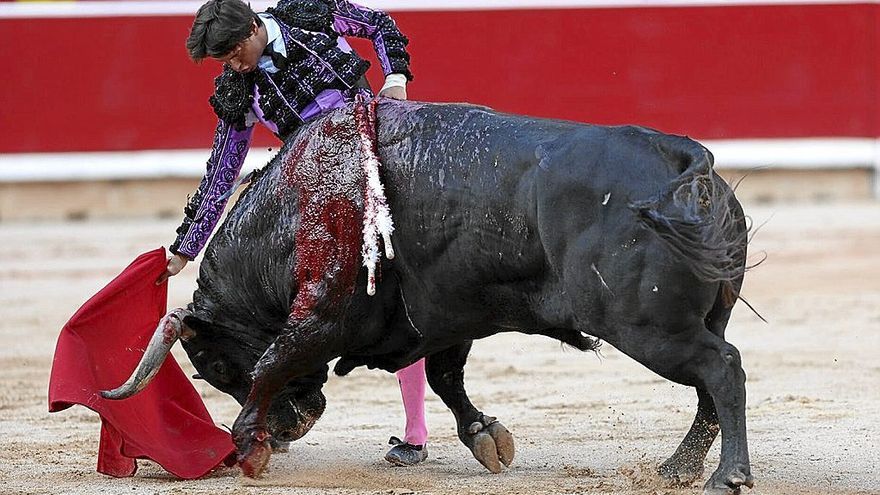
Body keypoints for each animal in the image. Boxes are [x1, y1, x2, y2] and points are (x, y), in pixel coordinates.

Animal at [101, 99, 748, 494]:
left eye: (210, 367)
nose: (290, 427)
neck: (291, 210)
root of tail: (679, 158)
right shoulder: (446, 317)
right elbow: (443, 378)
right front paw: (486, 437)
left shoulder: (322, 316)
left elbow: (270, 363)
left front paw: (247, 447)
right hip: (698, 319)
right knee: (712, 380)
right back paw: (680, 468)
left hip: (646, 327)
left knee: (722, 369)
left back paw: (725, 475)